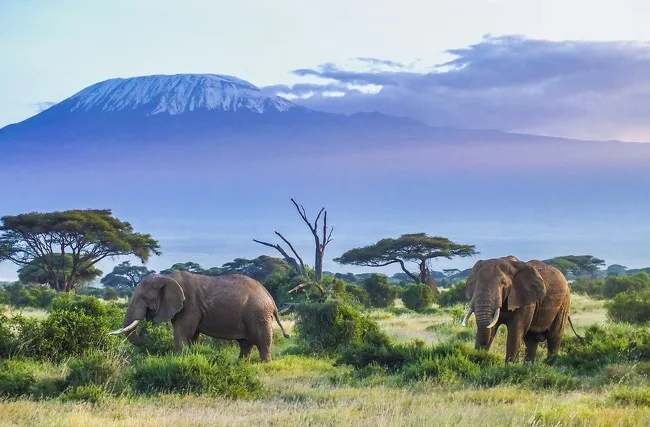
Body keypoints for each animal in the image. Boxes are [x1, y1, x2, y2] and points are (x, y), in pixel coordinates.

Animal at [109, 272, 288, 362]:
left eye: (144, 297)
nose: (145, 333)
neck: (167, 277)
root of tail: (270, 296)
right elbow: (193, 336)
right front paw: (192, 356)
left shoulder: (190, 305)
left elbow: (182, 333)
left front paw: (179, 360)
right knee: (245, 343)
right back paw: (241, 364)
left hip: (258, 313)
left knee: (262, 341)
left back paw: (264, 364)